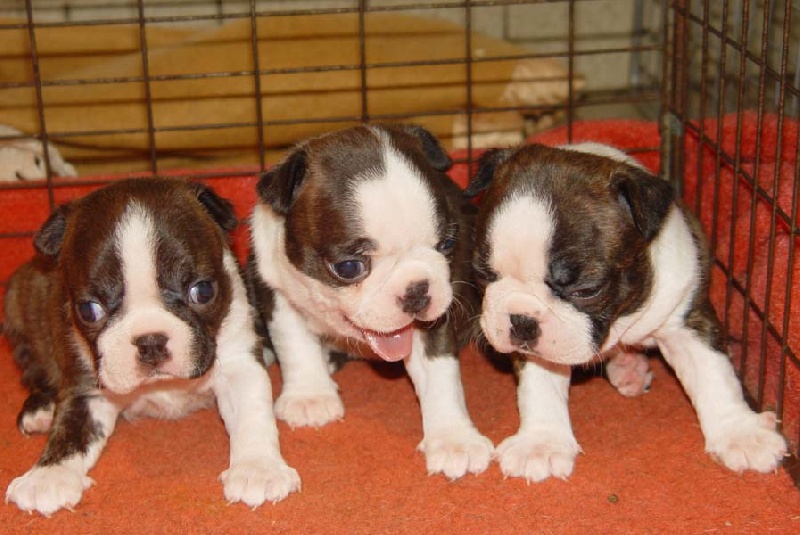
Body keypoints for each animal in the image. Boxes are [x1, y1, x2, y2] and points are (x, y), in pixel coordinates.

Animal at [3, 178, 300, 516]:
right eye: (89, 309)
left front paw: (258, 469)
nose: (150, 341)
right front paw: (47, 475)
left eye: (203, 290)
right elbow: (70, 430)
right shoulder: (86, 387)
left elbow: (252, 414)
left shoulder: (239, 365)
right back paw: (40, 409)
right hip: (18, 301)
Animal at [247, 123, 494, 480]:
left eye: (448, 243)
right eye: (349, 268)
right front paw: (309, 396)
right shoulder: (276, 292)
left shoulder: (436, 320)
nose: (417, 290)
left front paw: (455, 440)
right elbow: (295, 345)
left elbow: (441, 375)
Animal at [466, 141, 792, 482]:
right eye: (482, 274)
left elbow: (714, 374)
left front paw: (742, 434)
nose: (522, 321)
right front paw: (541, 444)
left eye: (587, 290)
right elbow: (540, 385)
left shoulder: (687, 320)